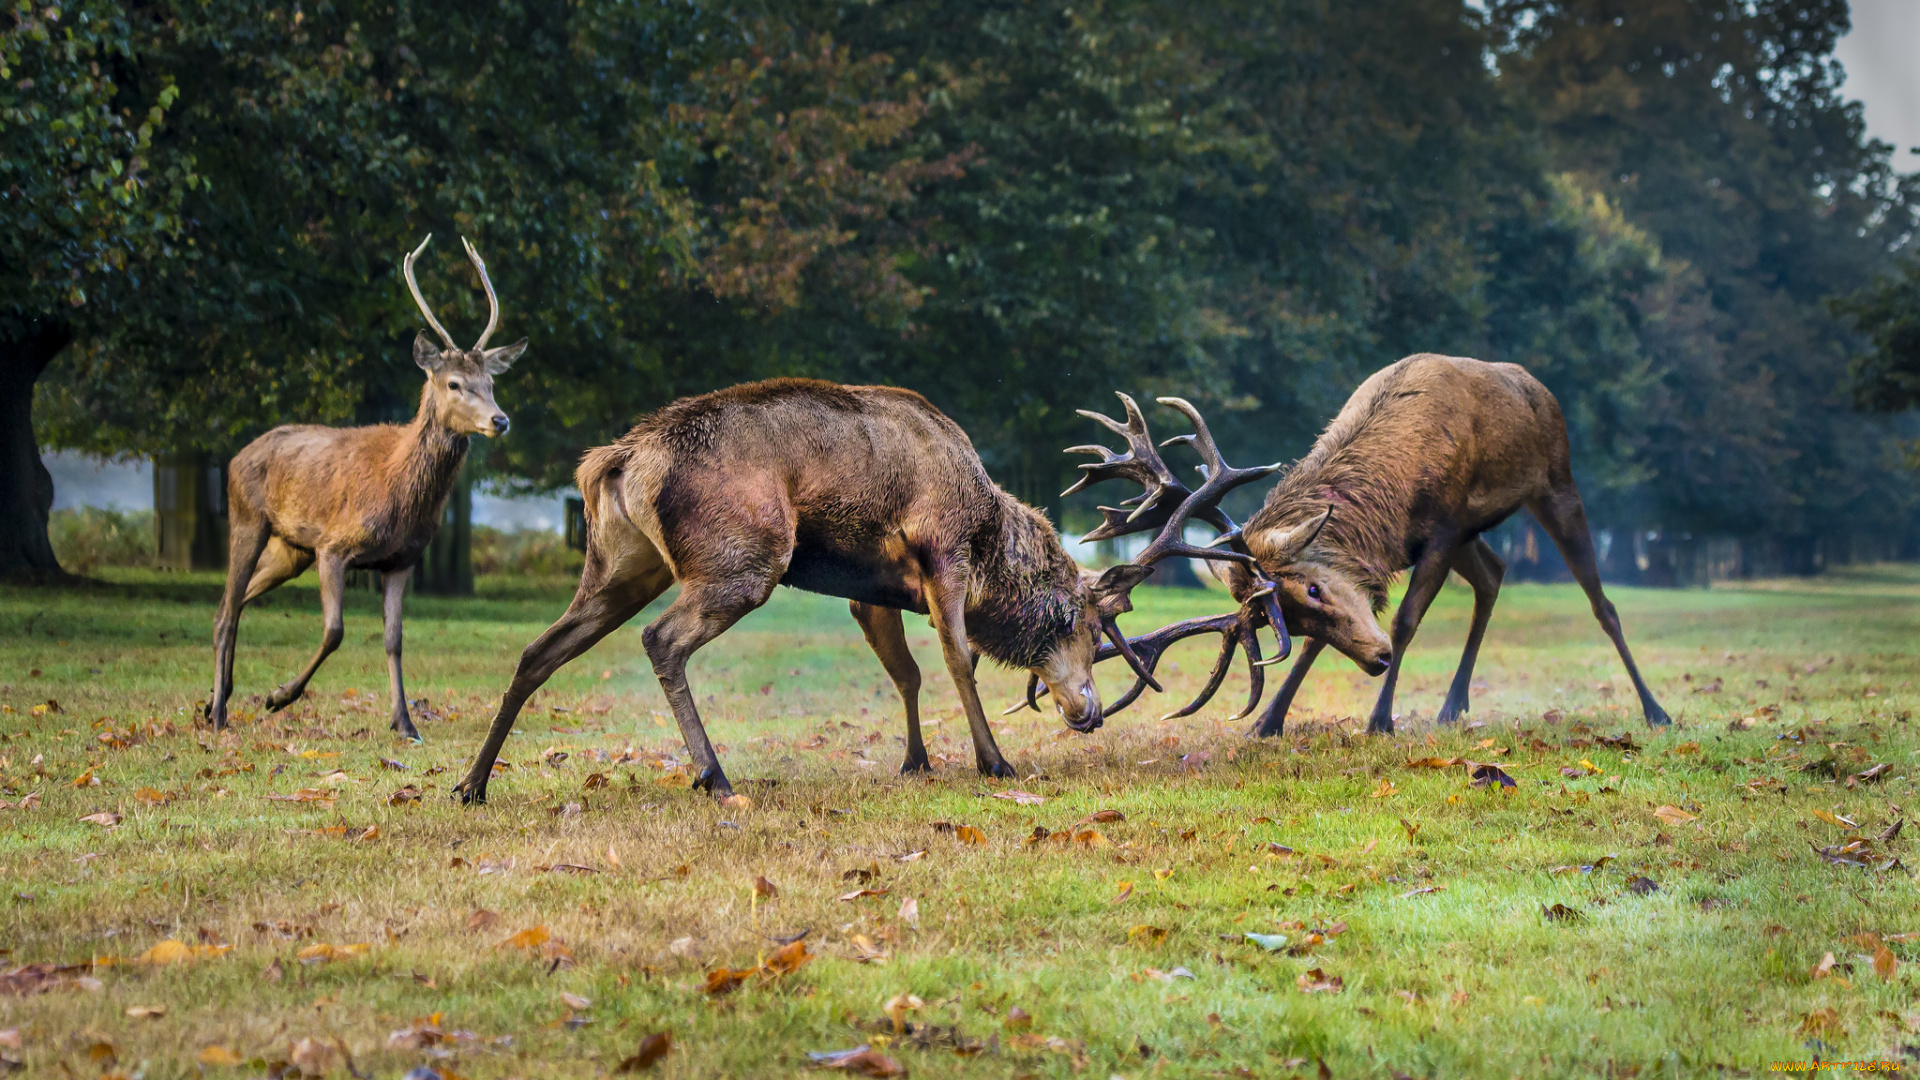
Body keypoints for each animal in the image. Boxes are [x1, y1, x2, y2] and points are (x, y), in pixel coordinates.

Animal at [206, 233, 526, 737]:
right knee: (226, 609)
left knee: (236, 600)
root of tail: (237, 457)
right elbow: (334, 631)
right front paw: (280, 696)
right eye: (454, 383)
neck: (400, 495)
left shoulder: (401, 559)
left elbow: (394, 640)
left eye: (491, 382)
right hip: (248, 519)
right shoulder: (334, 547)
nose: (500, 420)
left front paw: (405, 723)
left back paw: (212, 700)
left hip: (291, 548)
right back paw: (219, 713)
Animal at [456, 374, 1159, 803]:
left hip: (621, 568)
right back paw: (713, 774)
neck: (989, 540)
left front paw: (916, 761)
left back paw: (473, 783)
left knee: (540, 649)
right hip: (743, 557)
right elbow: (959, 659)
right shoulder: (942, 548)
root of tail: (615, 461)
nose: (1089, 711)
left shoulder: (870, 591)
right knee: (661, 638)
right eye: (1089, 623)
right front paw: (994, 761)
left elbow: (906, 672)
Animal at [1059, 351, 1674, 730]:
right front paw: (1268, 722)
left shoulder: (1445, 525)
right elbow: (1323, 648)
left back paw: (1656, 711)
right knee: (1495, 572)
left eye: (1311, 590)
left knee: (1602, 602)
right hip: (1477, 533)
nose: (1376, 661)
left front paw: (1380, 720)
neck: (1391, 497)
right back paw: (1453, 705)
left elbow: (1405, 621)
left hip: (1556, 483)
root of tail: (1538, 386)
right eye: (1294, 616)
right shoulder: (1424, 539)